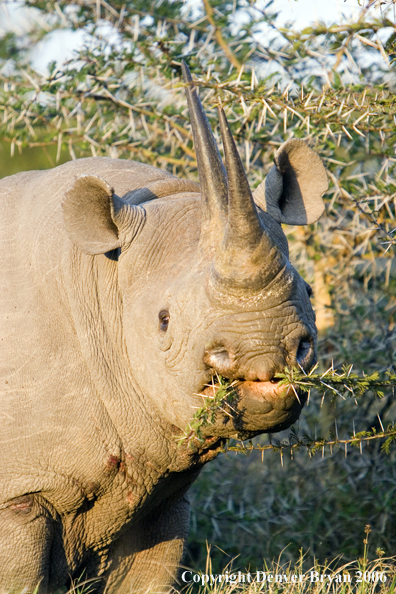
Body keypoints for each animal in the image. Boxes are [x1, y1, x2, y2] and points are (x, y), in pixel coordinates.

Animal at [0, 62, 328, 588]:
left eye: (311, 293)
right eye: (164, 321)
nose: (263, 356)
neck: (106, 278)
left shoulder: (163, 489)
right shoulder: (21, 492)